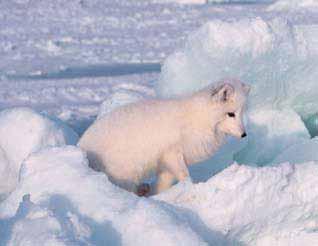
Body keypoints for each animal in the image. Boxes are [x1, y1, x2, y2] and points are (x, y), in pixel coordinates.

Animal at [78, 79, 250, 196]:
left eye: (241, 113)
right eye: (230, 114)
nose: (244, 134)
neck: (199, 118)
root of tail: (81, 146)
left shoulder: (166, 163)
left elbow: (163, 184)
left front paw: (159, 196)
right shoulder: (172, 154)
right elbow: (185, 176)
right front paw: (191, 189)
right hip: (125, 173)